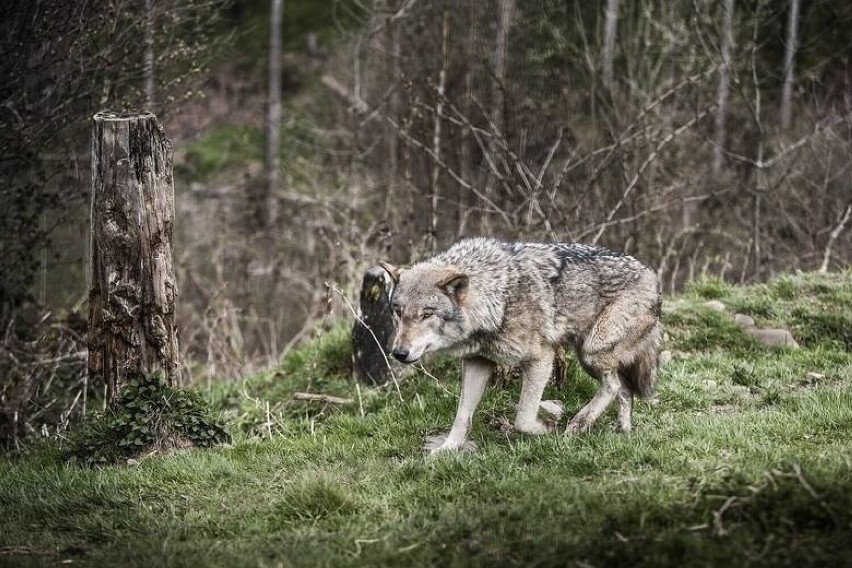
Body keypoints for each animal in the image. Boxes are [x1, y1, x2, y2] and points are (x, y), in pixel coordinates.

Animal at [382, 237, 664, 454]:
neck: (498, 298)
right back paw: (621, 430)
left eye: (427, 314)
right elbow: (462, 416)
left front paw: (547, 428)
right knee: (624, 388)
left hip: (592, 351)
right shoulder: (477, 362)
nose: (399, 353)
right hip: (590, 356)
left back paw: (578, 425)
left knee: (614, 385)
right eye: (398, 312)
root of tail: (652, 275)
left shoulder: (541, 359)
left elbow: (523, 419)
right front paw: (447, 449)